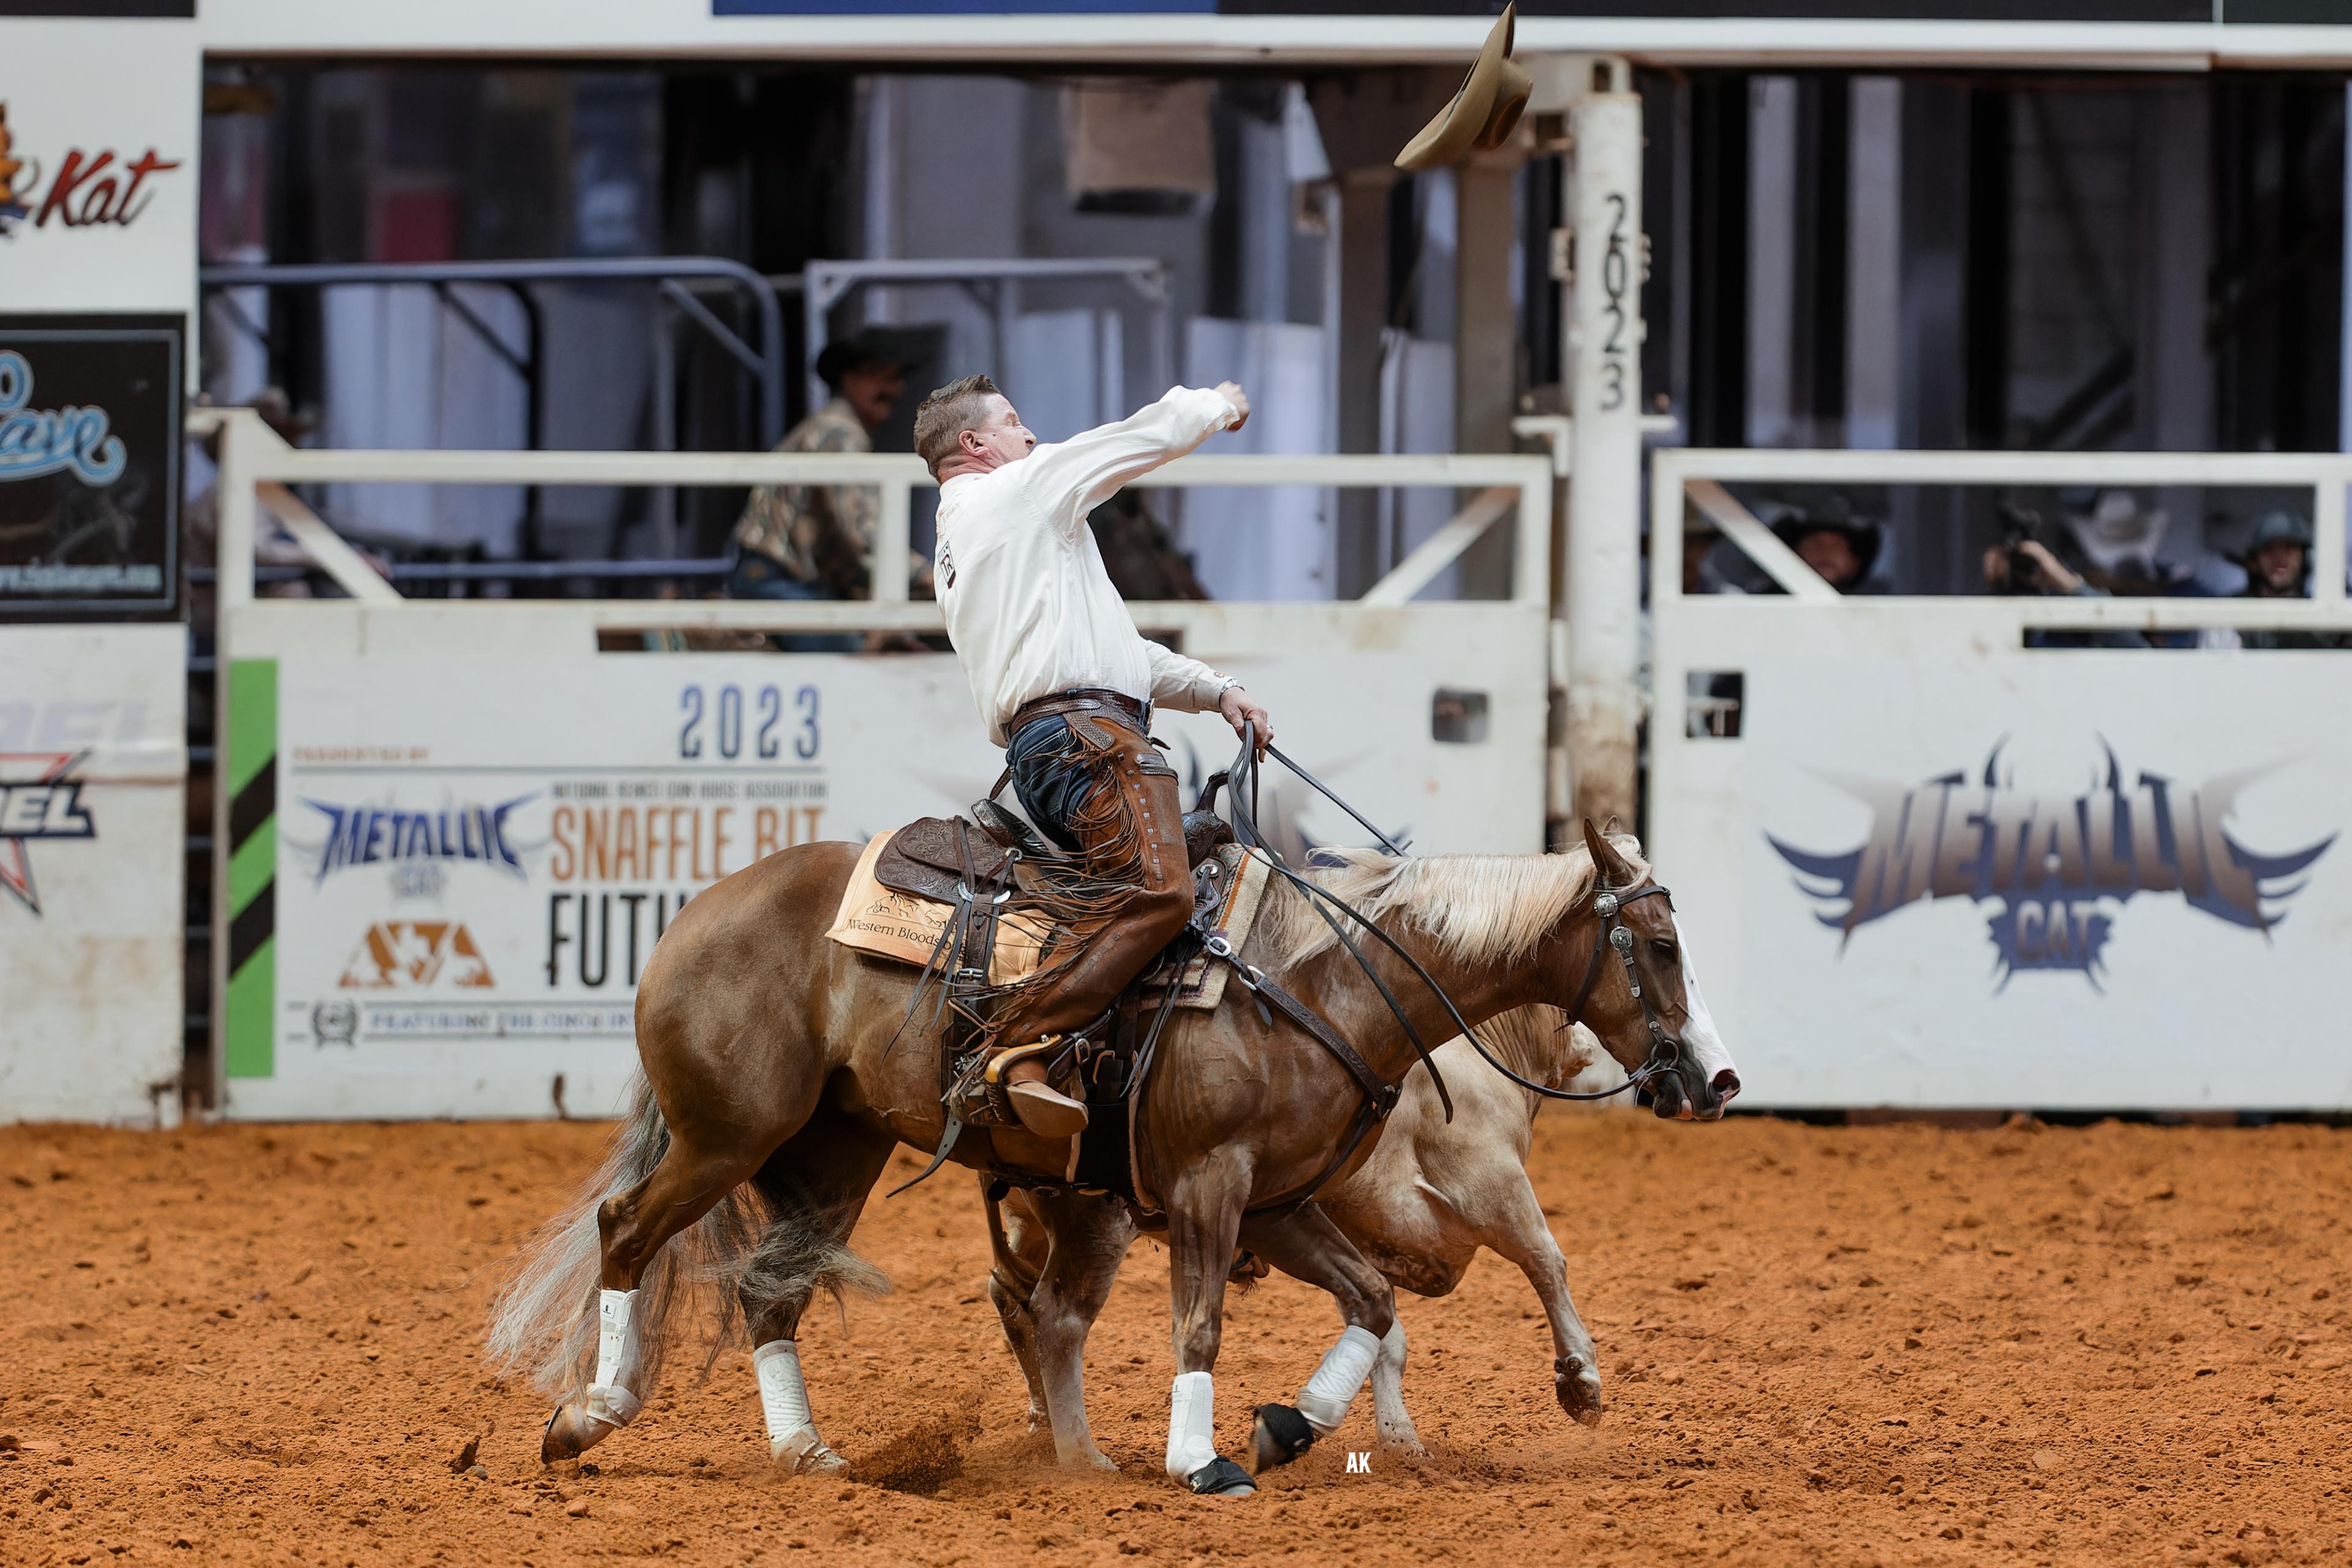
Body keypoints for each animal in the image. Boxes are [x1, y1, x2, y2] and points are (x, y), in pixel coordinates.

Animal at [982, 1007, 1627, 1470]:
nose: (1594, 1045)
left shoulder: (1364, 1242)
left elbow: (1386, 1337)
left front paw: (1399, 1439)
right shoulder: (1495, 1186)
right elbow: (1546, 1261)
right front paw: (1581, 1380)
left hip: (1028, 1223)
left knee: (1013, 1299)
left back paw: (1044, 1419)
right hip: (1096, 1220)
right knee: (1059, 1315)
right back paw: (1083, 1455)